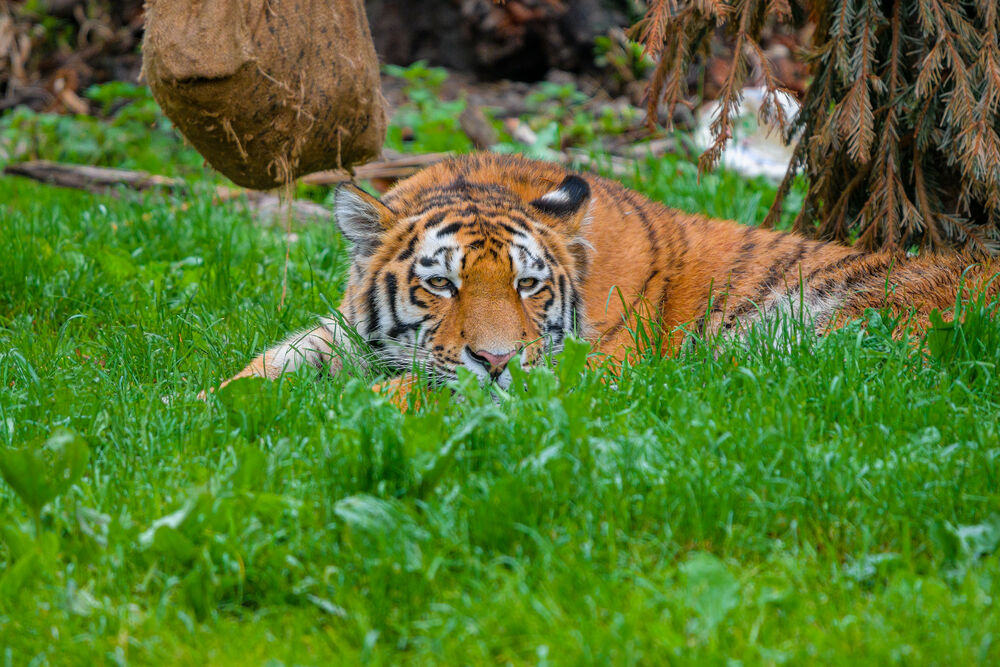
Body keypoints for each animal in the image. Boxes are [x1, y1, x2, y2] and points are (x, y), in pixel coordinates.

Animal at [205, 151, 1000, 402]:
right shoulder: (341, 329)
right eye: (443, 285)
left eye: (528, 286)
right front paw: (211, 405)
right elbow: (269, 364)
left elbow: (420, 391)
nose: (496, 359)